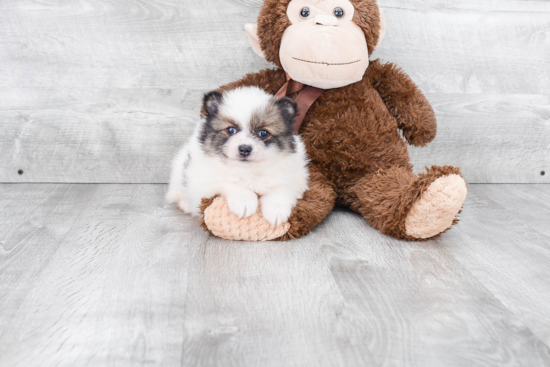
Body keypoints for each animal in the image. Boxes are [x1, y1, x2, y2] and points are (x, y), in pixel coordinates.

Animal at [166, 87, 308, 229]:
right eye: (231, 130)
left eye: (263, 133)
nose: (244, 149)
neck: (247, 170)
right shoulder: (204, 182)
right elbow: (228, 183)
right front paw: (244, 202)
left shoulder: (295, 178)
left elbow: (282, 188)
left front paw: (276, 210)